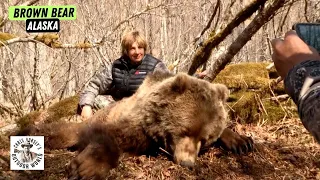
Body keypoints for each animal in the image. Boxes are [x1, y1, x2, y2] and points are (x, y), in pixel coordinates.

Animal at [18, 71, 254, 179]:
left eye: (205, 139)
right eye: (184, 130)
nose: (187, 163)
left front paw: (242, 141)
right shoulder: (136, 125)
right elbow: (112, 137)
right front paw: (85, 167)